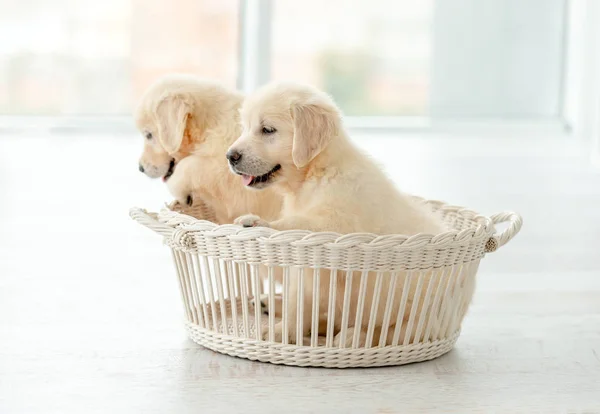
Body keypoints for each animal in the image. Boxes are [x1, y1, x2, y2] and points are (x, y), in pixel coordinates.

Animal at [227, 81, 448, 346]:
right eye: (246, 127)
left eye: (268, 130)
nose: (230, 156)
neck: (317, 173)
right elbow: (298, 302)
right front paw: (285, 330)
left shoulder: (335, 227)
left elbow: (295, 224)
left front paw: (258, 222)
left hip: (415, 316)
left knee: (387, 331)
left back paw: (351, 336)